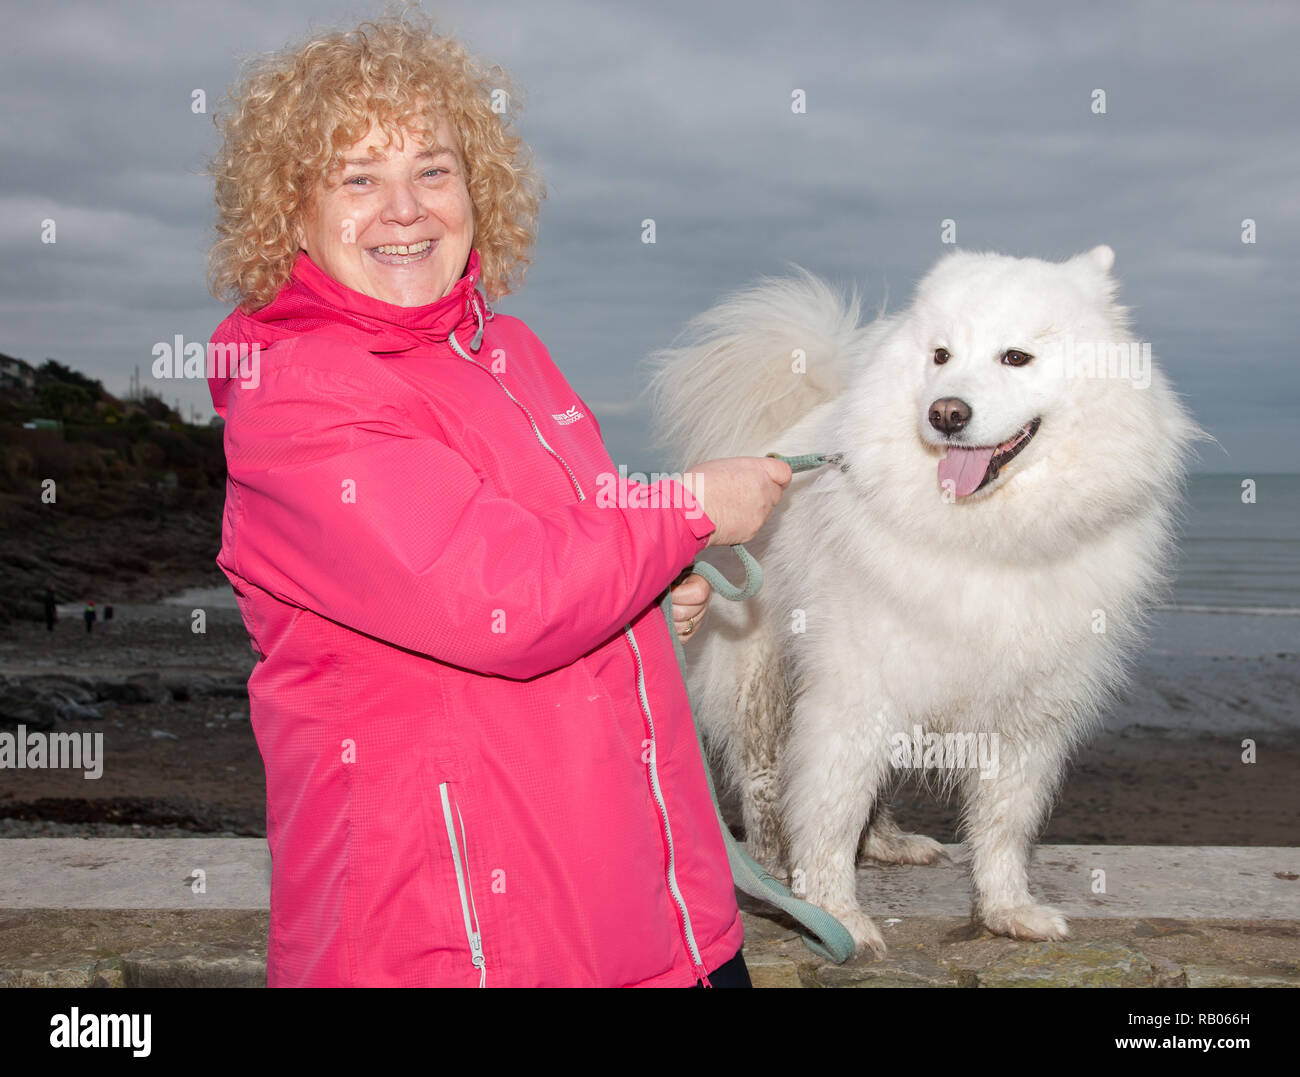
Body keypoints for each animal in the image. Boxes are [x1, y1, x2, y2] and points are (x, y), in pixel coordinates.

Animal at [644, 244, 1201, 952]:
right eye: (940, 355)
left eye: (1015, 357)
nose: (946, 412)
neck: (989, 538)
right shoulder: (854, 690)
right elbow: (830, 810)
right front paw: (834, 914)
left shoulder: (1030, 709)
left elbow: (1004, 823)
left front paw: (1006, 909)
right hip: (762, 677)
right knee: (765, 778)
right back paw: (770, 867)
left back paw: (886, 844)